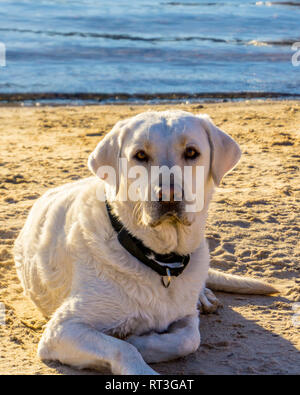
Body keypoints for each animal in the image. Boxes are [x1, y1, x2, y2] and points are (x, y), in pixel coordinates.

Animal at [14, 110, 276, 374]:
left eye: (192, 152)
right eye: (140, 155)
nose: (169, 195)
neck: (158, 259)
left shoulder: (186, 316)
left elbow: (189, 339)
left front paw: (140, 339)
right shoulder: (62, 329)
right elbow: (123, 348)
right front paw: (133, 344)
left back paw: (204, 296)